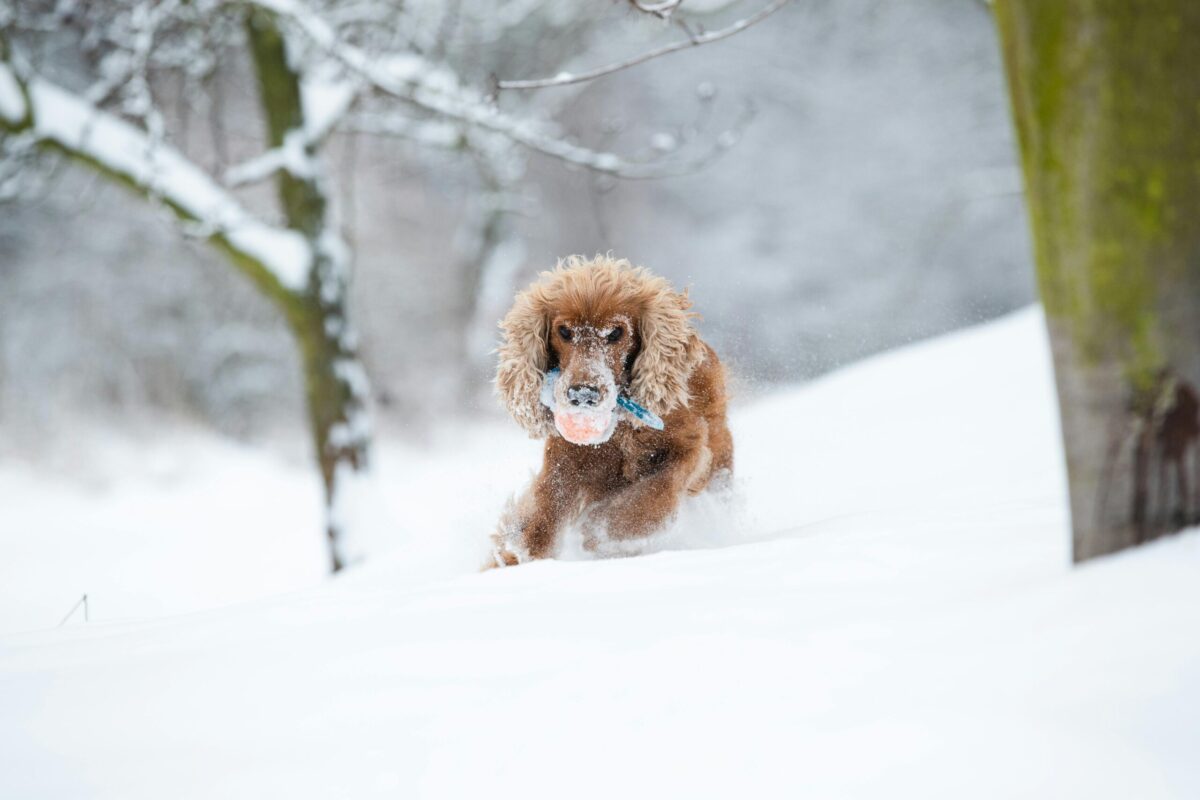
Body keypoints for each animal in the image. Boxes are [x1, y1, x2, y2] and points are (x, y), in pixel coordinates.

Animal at [489, 253, 729, 566]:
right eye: (564, 331)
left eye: (616, 333)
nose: (583, 394)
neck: (619, 427)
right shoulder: (565, 461)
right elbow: (544, 510)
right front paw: (516, 554)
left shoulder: (690, 445)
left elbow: (658, 490)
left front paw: (604, 531)